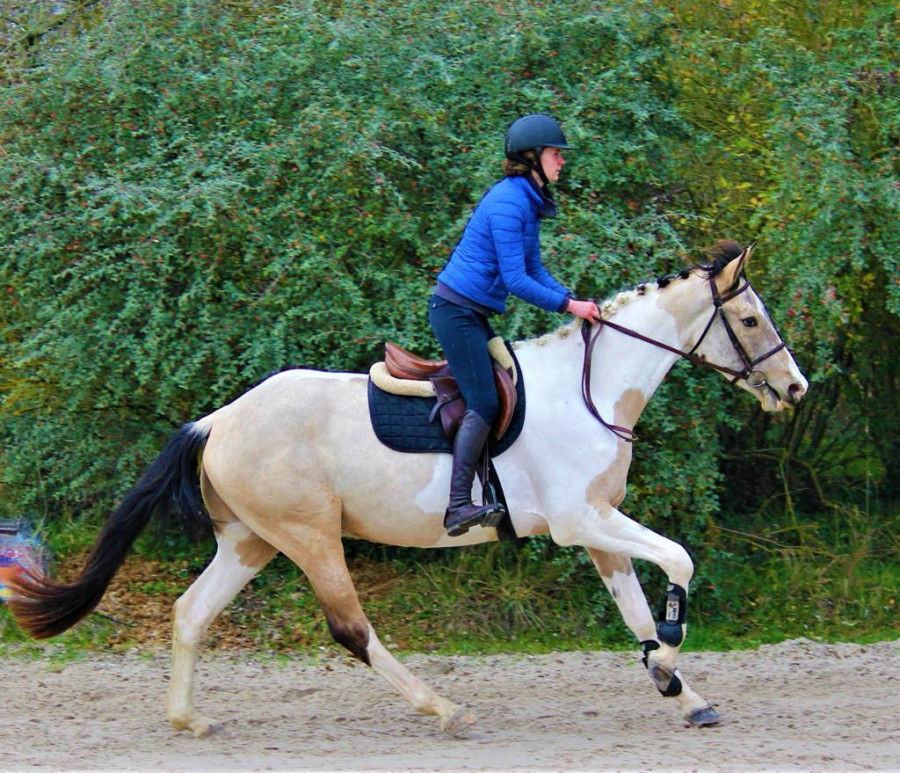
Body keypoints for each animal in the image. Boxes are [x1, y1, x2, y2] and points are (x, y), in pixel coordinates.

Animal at [9, 240, 807, 738]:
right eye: (747, 318)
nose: (795, 387)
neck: (593, 392)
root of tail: (218, 419)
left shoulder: (599, 524)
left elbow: (634, 607)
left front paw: (682, 690)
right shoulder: (581, 520)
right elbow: (677, 562)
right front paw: (671, 656)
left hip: (250, 541)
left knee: (190, 613)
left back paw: (188, 718)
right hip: (309, 536)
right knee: (351, 629)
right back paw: (444, 707)